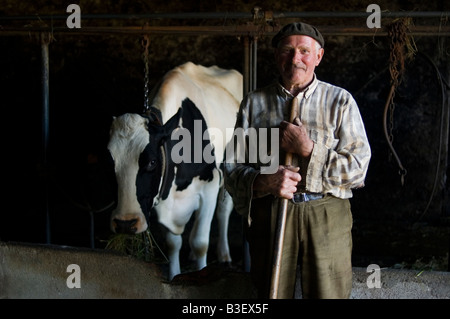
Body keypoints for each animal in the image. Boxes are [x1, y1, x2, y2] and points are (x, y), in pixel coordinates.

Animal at [107, 62, 241, 280]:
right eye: (110, 162)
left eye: (152, 162)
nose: (125, 223)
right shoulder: (165, 196)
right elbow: (173, 244)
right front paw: (174, 276)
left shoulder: (210, 187)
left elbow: (200, 242)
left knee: (223, 211)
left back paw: (224, 255)